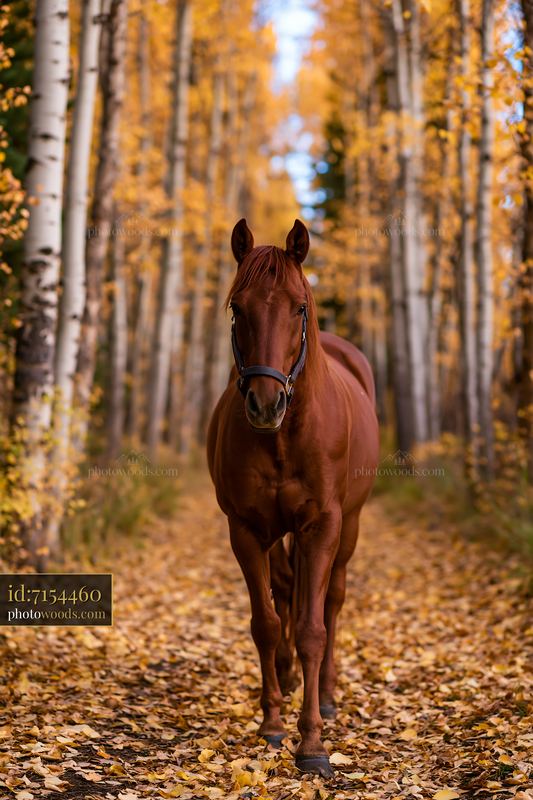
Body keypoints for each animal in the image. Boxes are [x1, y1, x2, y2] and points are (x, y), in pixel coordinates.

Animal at [207, 219, 379, 777]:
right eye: (238, 308)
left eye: (299, 308)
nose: (266, 403)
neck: (284, 436)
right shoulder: (245, 530)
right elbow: (266, 623)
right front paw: (273, 723)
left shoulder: (323, 525)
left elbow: (311, 628)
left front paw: (314, 743)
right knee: (285, 590)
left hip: (349, 527)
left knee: (332, 601)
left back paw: (325, 691)